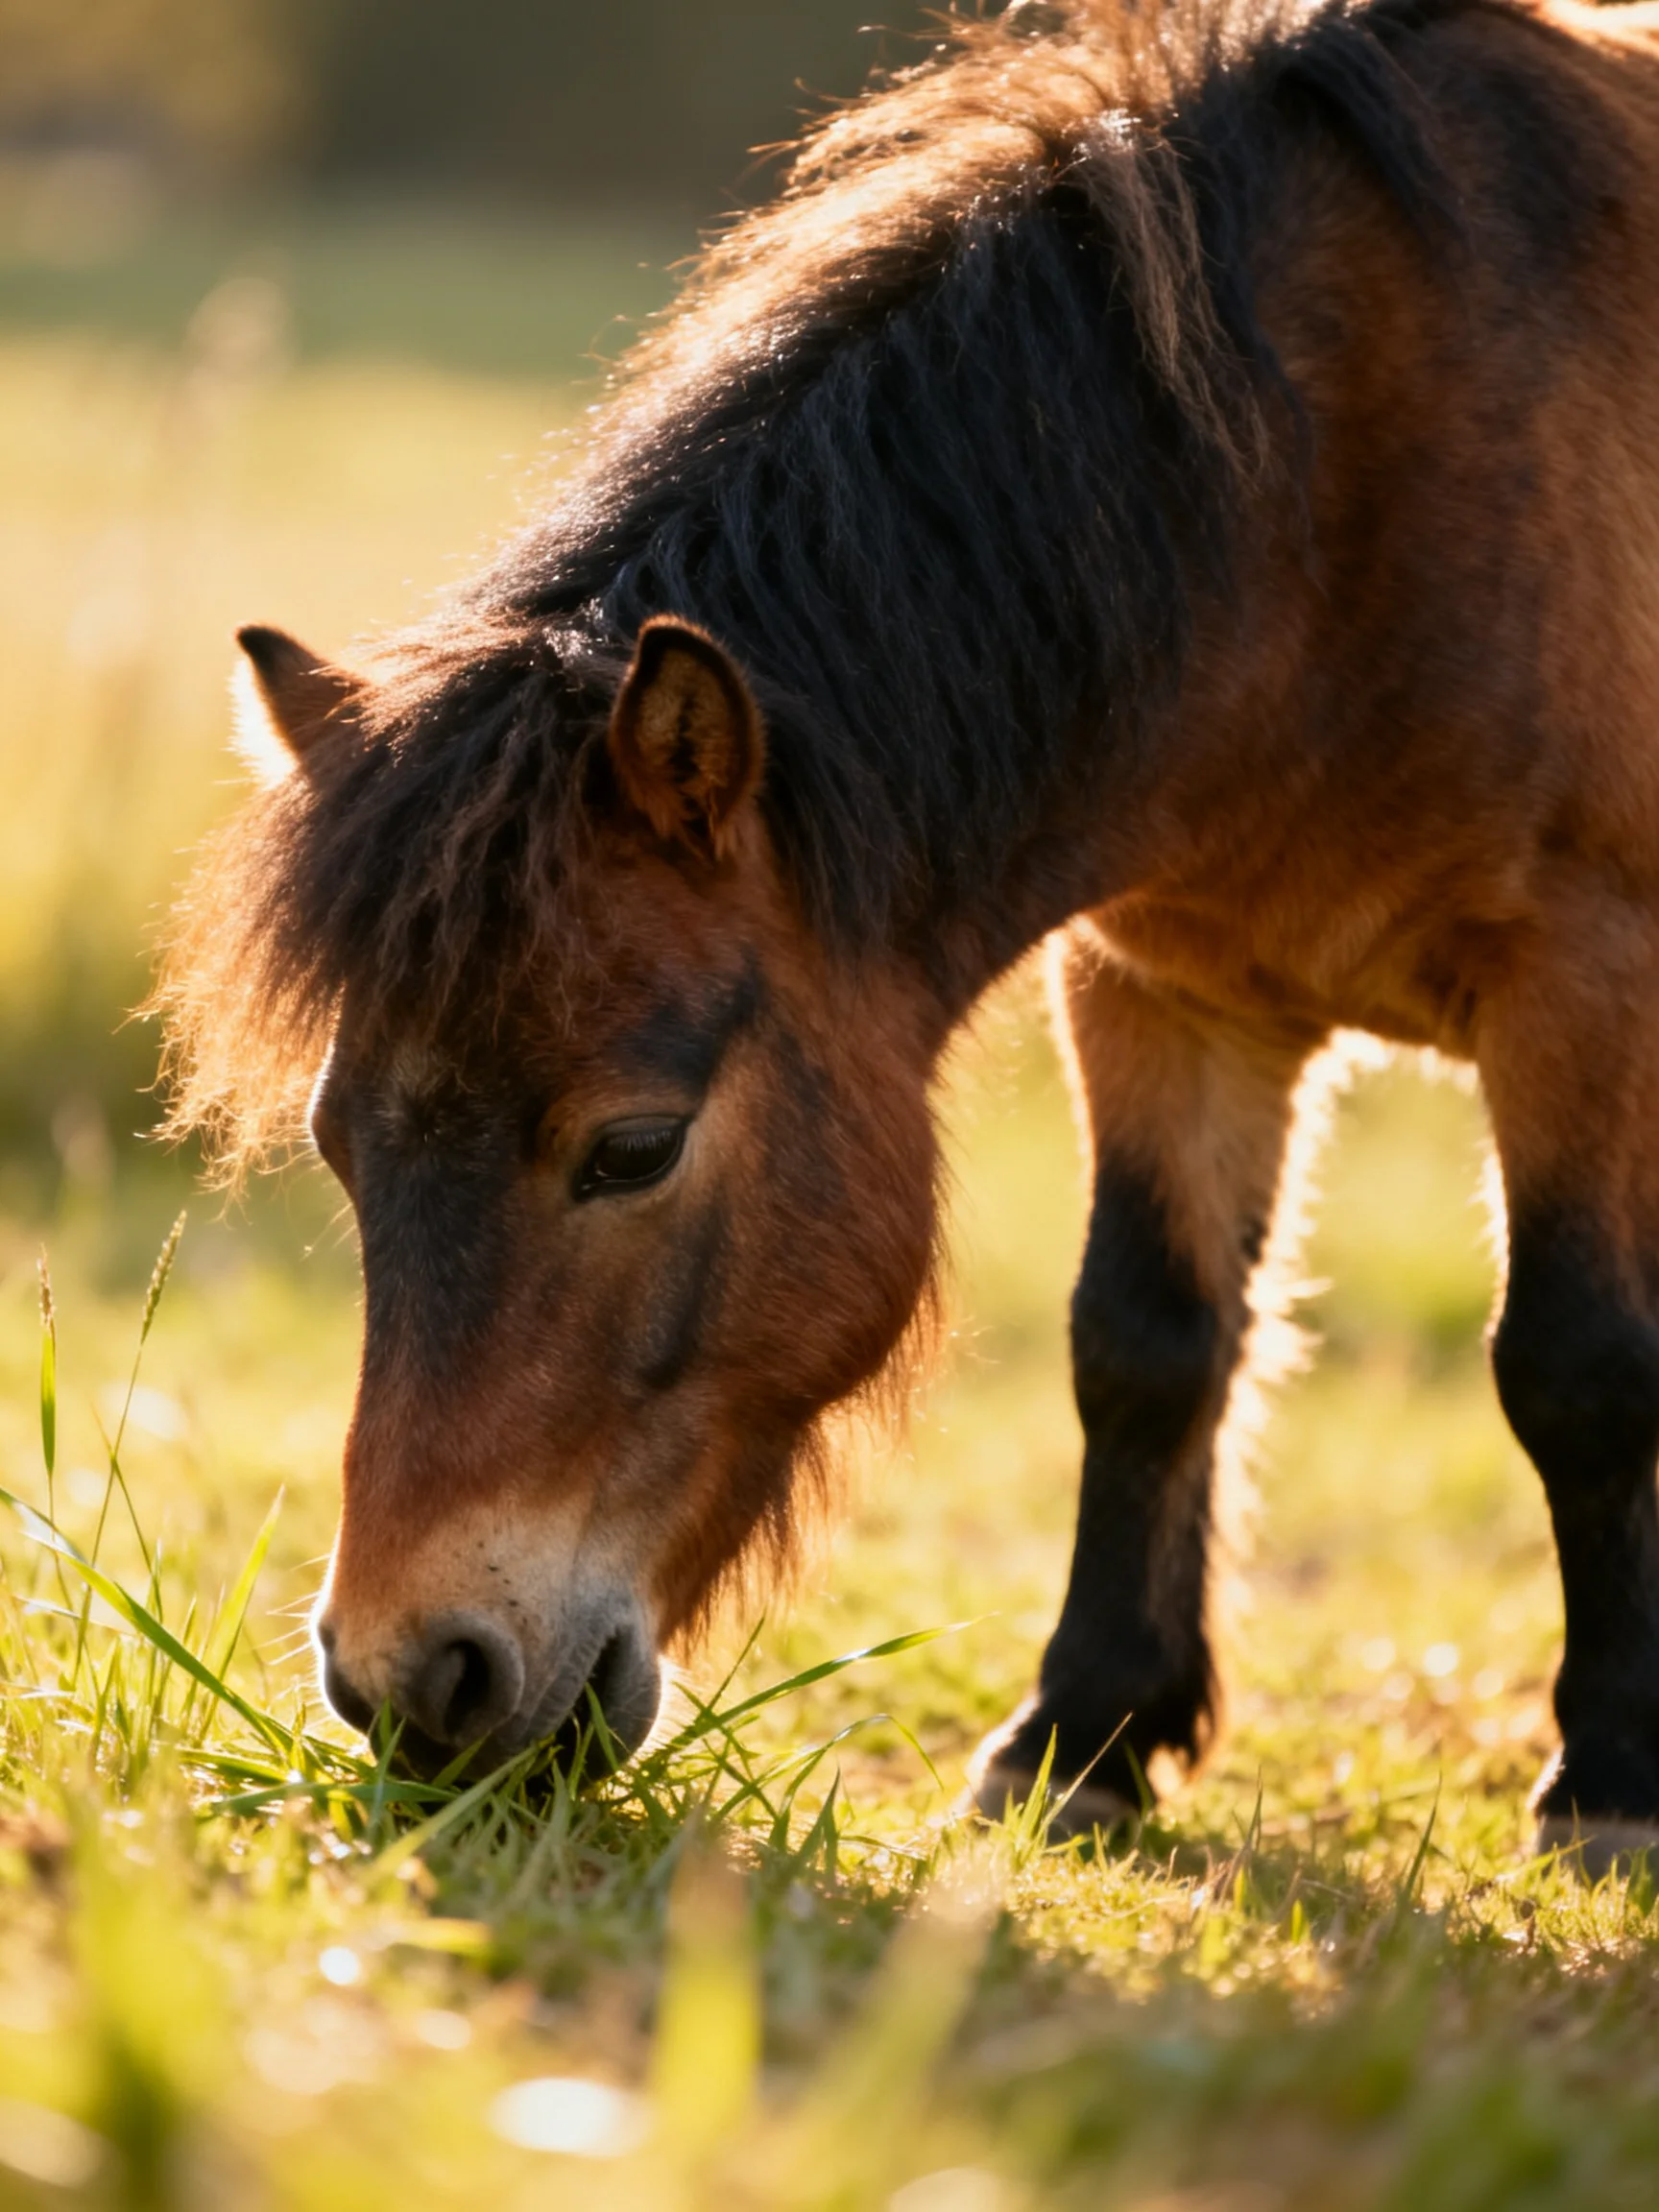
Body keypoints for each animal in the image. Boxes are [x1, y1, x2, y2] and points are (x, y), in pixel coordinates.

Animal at [159, 0, 1659, 1867]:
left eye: (633, 1148)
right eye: (340, 1146)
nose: (414, 1689)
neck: (1346, 486)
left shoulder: (1576, 988)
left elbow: (1575, 1365)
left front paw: (1607, 1780)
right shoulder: (1165, 992)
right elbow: (1148, 1345)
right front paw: (1085, 1736)